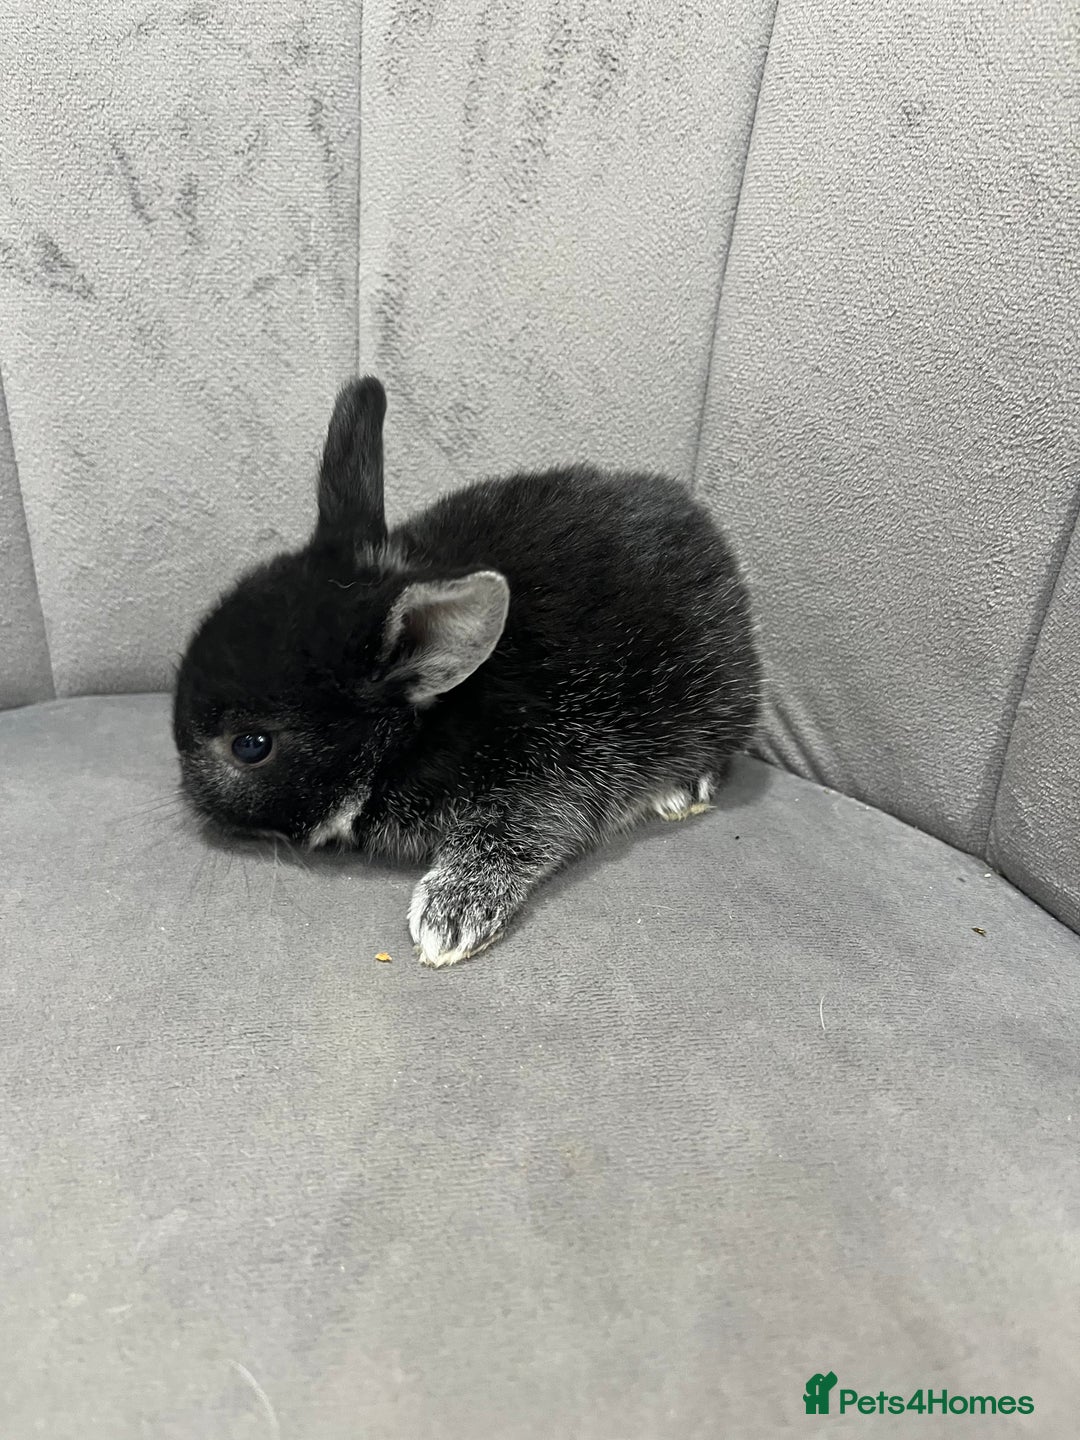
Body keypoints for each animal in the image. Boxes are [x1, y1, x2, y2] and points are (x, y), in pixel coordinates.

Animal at [173, 377, 761, 966]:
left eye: (251, 745)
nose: (191, 799)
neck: (427, 724)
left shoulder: (558, 758)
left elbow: (523, 828)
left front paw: (450, 918)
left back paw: (680, 790)